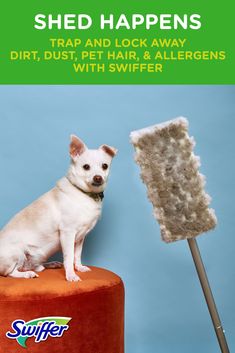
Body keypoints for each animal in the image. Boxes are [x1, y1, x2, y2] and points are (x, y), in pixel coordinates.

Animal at [0, 135, 117, 280]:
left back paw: (49, 265)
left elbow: (77, 255)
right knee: (9, 273)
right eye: (86, 167)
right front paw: (71, 275)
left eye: (105, 166)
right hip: (17, 252)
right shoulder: (67, 233)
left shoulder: (80, 238)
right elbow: (69, 257)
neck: (85, 194)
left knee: (33, 266)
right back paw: (27, 274)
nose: (98, 177)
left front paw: (79, 267)